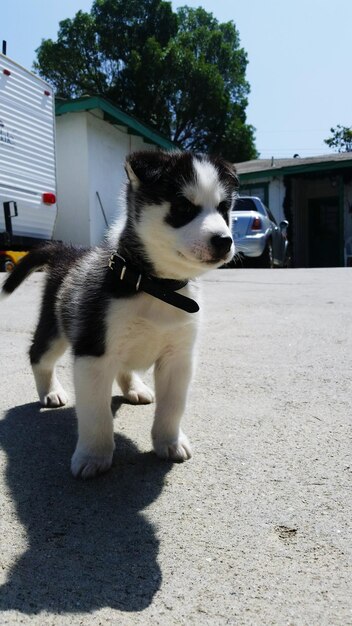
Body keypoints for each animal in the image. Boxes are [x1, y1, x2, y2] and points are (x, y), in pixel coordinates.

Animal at [0, 150, 236, 478]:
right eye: (183, 207)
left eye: (224, 208)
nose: (224, 241)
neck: (155, 287)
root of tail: (69, 251)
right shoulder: (93, 352)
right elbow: (96, 415)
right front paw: (93, 455)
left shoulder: (178, 358)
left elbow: (173, 406)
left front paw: (169, 441)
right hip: (56, 327)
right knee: (39, 355)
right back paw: (50, 392)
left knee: (125, 366)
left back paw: (134, 388)